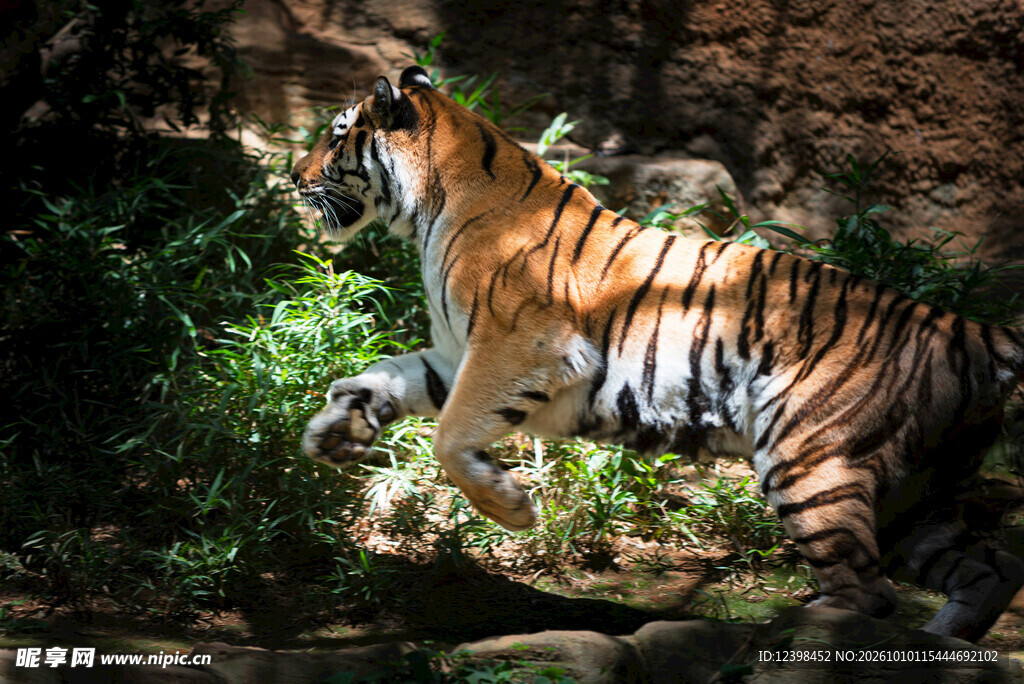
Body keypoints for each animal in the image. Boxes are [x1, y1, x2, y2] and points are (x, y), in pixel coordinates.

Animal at [291, 65, 1024, 642]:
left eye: (336, 133)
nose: (292, 177)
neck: (432, 203)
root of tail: (970, 329)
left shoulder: (522, 344)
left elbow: (449, 436)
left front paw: (513, 509)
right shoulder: (457, 353)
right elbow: (388, 376)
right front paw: (333, 432)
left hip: (812, 458)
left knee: (869, 593)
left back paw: (797, 629)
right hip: (918, 489)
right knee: (990, 571)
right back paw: (939, 641)